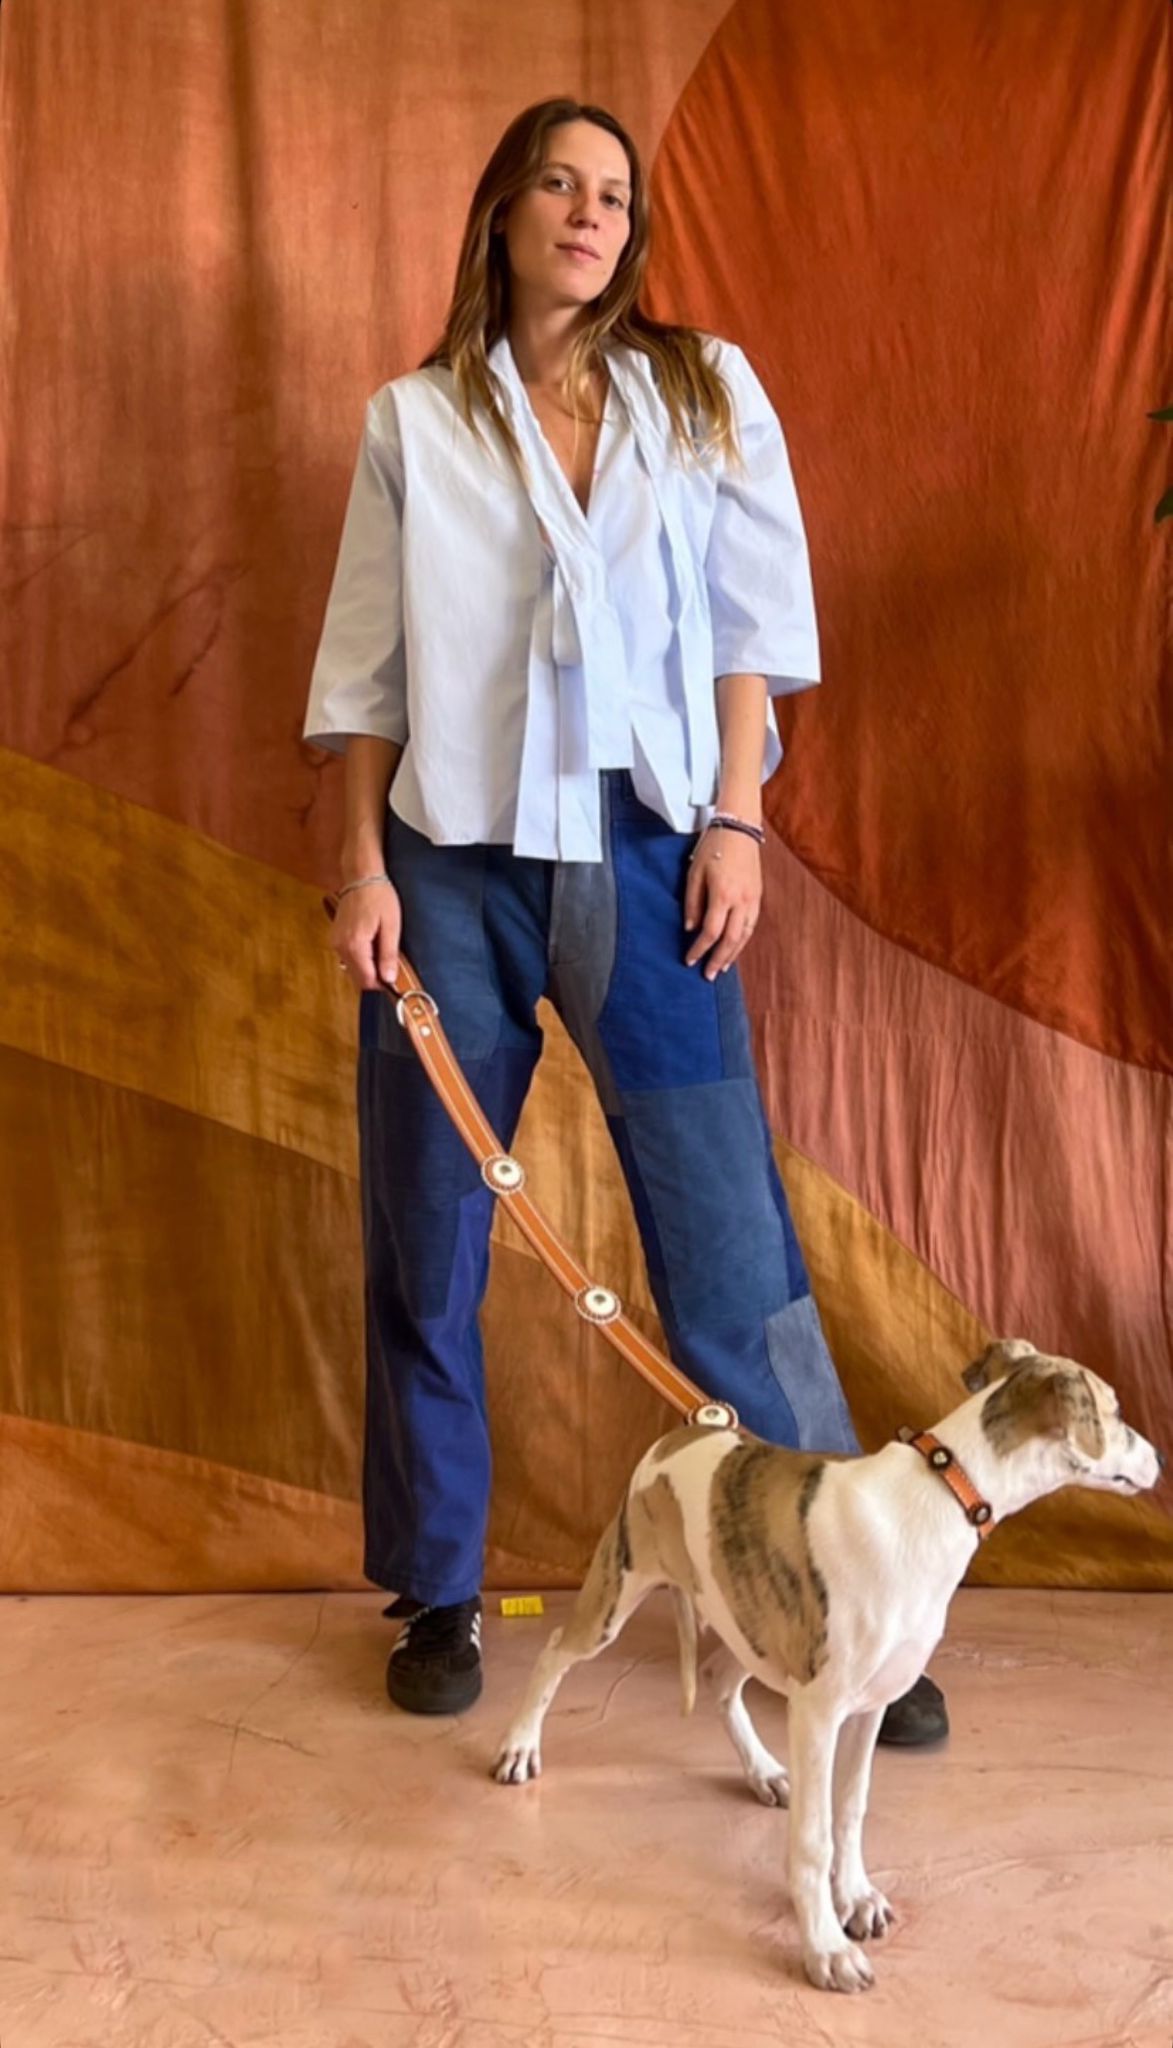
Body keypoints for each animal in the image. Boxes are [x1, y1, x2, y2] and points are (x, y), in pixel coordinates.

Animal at [492, 1340, 1162, 1992]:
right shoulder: (820, 1710)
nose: (1158, 1459)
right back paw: (519, 1748)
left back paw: (763, 1771)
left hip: (755, 1626)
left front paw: (855, 1897)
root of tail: (677, 1438)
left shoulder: (870, 1704)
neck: (944, 1494)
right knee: (555, 1651)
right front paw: (825, 1947)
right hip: (618, 1596)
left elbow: (851, 1809)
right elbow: (814, 1838)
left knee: (716, 1677)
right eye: (1116, 1411)